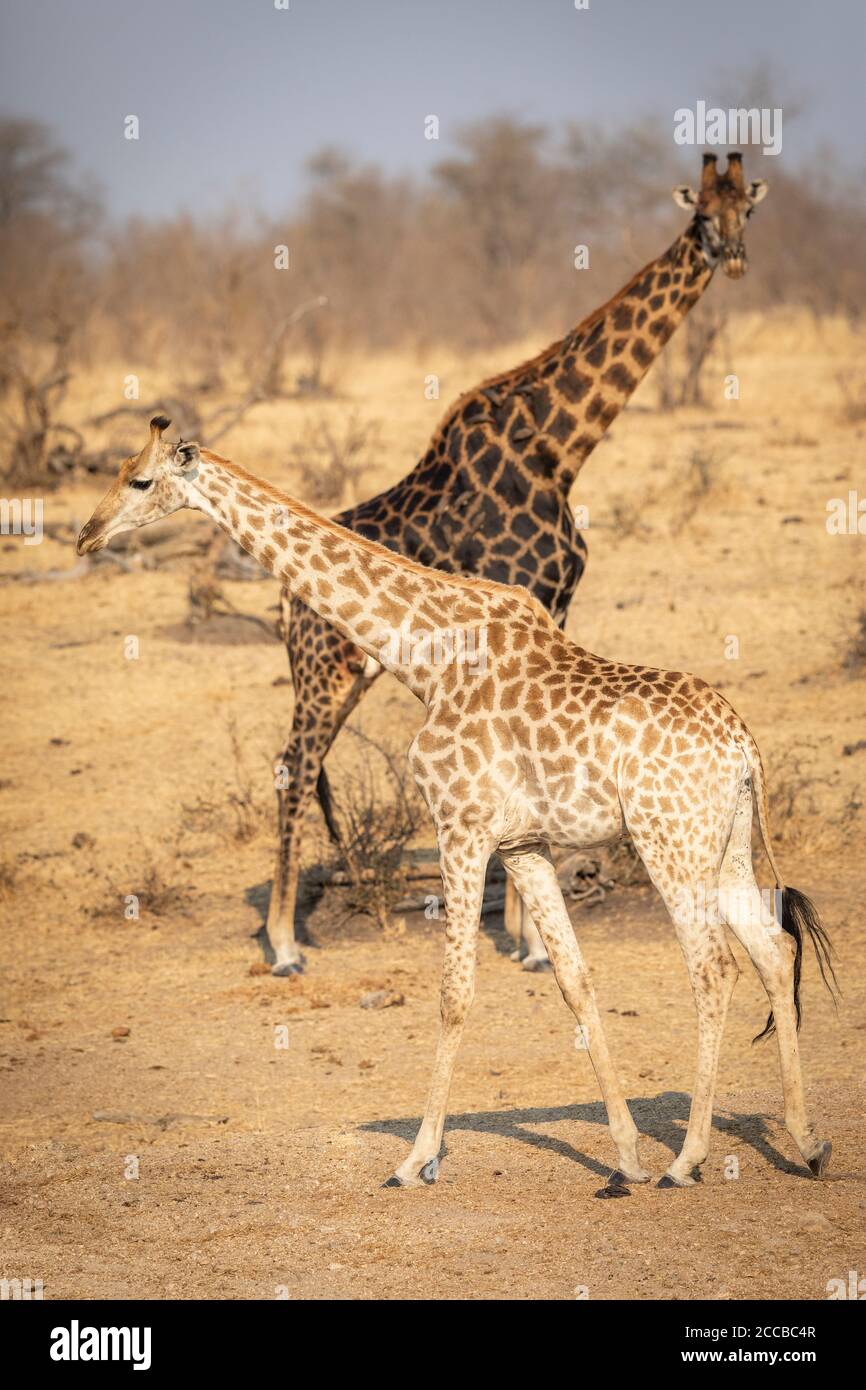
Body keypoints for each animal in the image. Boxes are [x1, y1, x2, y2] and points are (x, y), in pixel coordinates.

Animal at [78, 419, 835, 1193]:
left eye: (139, 480)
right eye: (120, 470)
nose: (86, 534)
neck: (425, 657)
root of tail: (744, 747)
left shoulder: (461, 827)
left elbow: (454, 993)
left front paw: (415, 1160)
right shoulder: (524, 845)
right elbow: (574, 980)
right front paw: (623, 1156)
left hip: (668, 840)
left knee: (715, 969)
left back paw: (688, 1159)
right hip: (724, 843)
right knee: (773, 951)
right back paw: (806, 1142)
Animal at [269, 152, 770, 975]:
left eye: (747, 210)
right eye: (700, 213)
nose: (731, 258)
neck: (559, 448)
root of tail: (280, 601)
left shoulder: (556, 603)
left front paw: (528, 937)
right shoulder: (530, 589)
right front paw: (531, 942)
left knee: (300, 769)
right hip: (325, 673)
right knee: (293, 767)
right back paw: (282, 945)